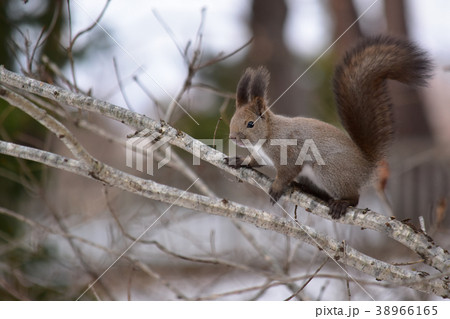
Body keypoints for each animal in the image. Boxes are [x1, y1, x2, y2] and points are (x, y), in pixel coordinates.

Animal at [225, 35, 432, 220]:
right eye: (232, 120)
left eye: (250, 124)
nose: (233, 137)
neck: (267, 135)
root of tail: (366, 166)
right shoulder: (261, 155)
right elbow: (254, 161)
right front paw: (239, 160)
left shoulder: (288, 153)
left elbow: (286, 172)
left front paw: (276, 189)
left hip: (328, 171)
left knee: (354, 197)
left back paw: (342, 203)